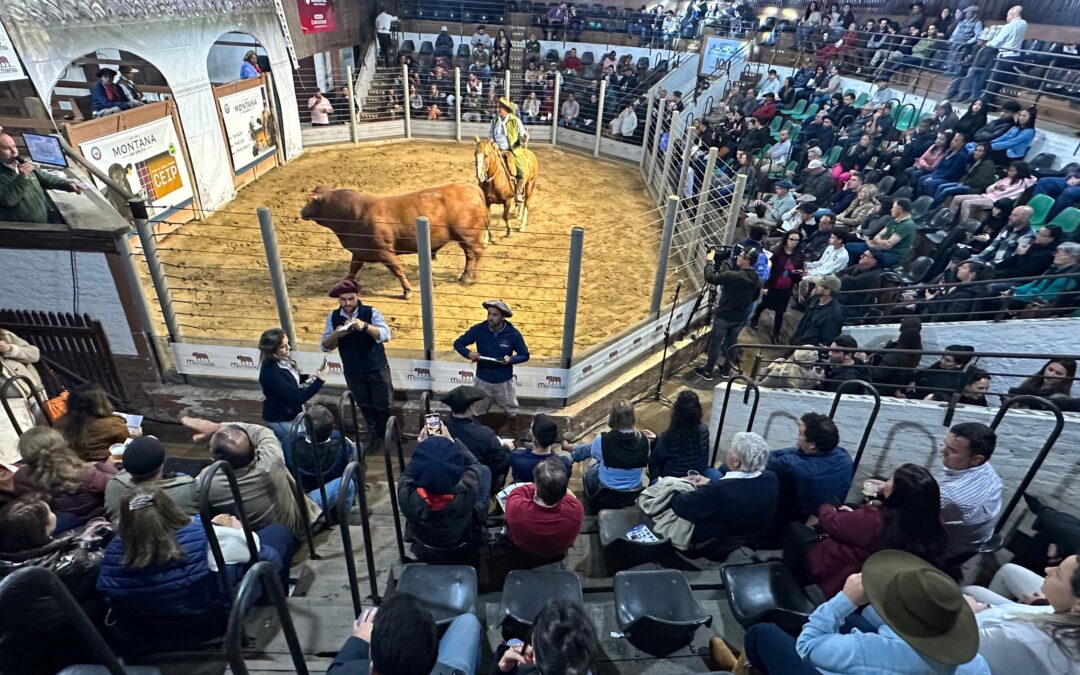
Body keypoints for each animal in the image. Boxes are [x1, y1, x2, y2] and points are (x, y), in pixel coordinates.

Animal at [302, 185, 492, 298]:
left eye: (309, 201)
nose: (301, 212)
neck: (351, 214)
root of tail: (471, 188)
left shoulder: (385, 253)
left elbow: (397, 270)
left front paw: (407, 291)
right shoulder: (359, 252)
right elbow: (352, 270)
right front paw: (343, 284)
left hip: (468, 235)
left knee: (476, 253)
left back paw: (470, 277)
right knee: (470, 255)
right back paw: (465, 275)